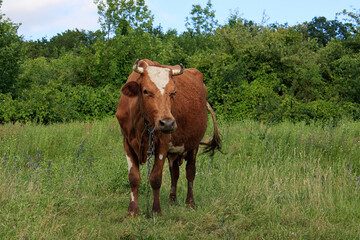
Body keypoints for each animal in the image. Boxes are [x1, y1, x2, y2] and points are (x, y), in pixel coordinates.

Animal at [116, 59, 221, 217]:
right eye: (146, 91)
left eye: (173, 92)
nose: (167, 123)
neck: (142, 123)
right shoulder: (127, 142)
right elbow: (133, 177)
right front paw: (132, 211)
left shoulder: (163, 143)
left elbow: (155, 178)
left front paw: (156, 211)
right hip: (174, 152)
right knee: (175, 173)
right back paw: (172, 199)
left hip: (193, 145)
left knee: (190, 172)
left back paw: (190, 203)